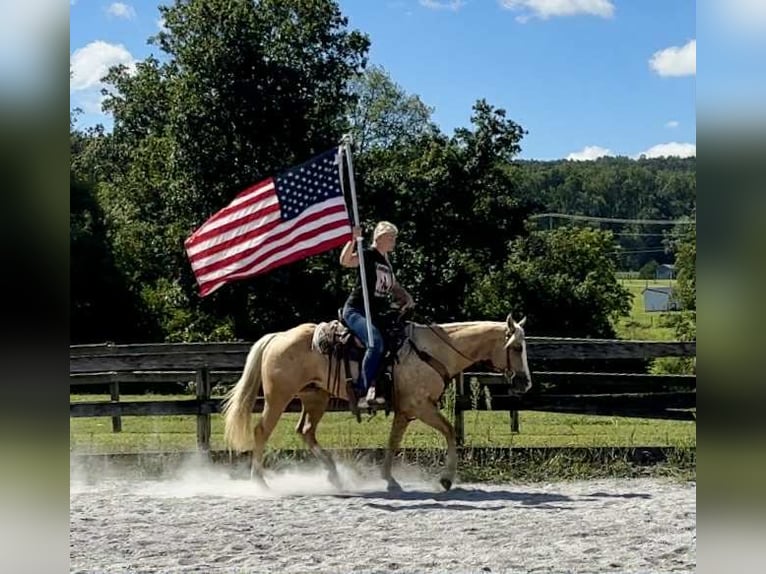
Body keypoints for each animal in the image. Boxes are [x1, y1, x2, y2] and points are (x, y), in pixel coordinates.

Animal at [221, 312, 532, 491]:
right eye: (517, 347)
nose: (525, 383)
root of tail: (277, 337)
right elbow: (449, 430)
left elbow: (393, 441)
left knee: (306, 431)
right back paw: (260, 481)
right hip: (278, 398)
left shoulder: (406, 411)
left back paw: (334, 476)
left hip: (315, 397)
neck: (434, 351)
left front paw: (389, 478)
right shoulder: (421, 406)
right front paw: (445, 479)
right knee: (262, 431)